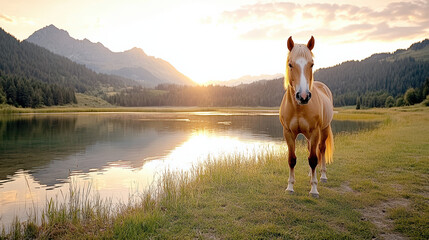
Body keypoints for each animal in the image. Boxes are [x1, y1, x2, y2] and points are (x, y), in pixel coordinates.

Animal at [278, 35, 334, 197]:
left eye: (312, 64)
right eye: (290, 64)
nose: (303, 96)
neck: (299, 108)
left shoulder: (315, 132)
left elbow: (314, 159)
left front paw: (314, 189)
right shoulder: (288, 133)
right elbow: (292, 159)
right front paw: (290, 187)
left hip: (324, 130)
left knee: (320, 150)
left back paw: (322, 176)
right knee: (311, 149)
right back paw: (310, 174)